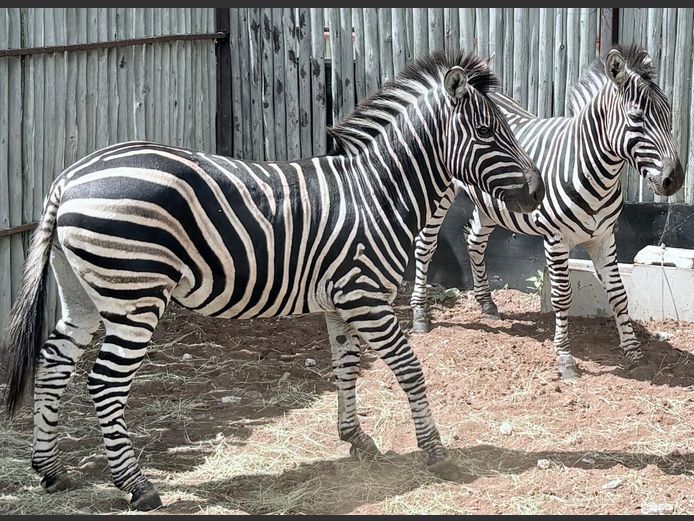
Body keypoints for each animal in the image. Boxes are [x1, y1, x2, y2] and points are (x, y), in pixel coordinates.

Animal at [2, 51, 544, 511]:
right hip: (135, 294)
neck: (379, 193)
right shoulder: (365, 296)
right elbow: (410, 370)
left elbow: (346, 368)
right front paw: (436, 454)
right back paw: (136, 486)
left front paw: (356, 440)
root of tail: (67, 179)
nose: (537, 191)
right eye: (485, 132)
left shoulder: (340, 301)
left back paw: (50, 470)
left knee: (54, 362)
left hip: (82, 291)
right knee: (105, 381)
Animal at [408, 45, 684, 379]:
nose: (675, 180)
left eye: (668, 114)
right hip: (439, 196)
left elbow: (619, 294)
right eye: (636, 117)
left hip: (491, 204)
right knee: (425, 246)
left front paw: (633, 352)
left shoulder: (604, 237)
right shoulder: (556, 239)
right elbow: (562, 296)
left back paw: (487, 304)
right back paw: (420, 315)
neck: (593, 170)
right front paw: (564, 358)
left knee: (474, 242)